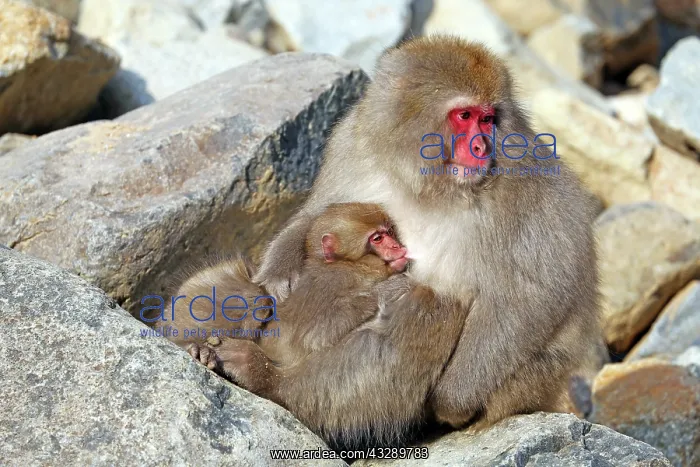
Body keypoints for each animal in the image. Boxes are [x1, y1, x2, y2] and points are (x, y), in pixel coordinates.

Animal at [249, 35, 602, 445]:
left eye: (488, 119)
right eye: (464, 116)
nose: (481, 148)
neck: (427, 185)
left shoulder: (523, 186)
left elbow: (532, 293)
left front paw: (453, 400)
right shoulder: (353, 146)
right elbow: (317, 216)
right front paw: (278, 271)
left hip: (529, 380)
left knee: (426, 302)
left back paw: (275, 384)